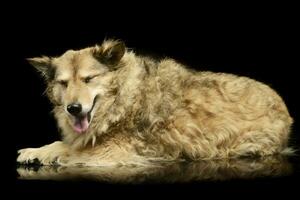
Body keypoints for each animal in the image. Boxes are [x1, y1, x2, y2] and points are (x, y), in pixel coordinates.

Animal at [16, 39, 292, 166]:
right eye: (63, 83)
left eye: (88, 79)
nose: (73, 108)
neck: (123, 96)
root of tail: (282, 105)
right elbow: (62, 143)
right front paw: (36, 150)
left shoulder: (110, 152)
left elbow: (67, 149)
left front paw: (41, 153)